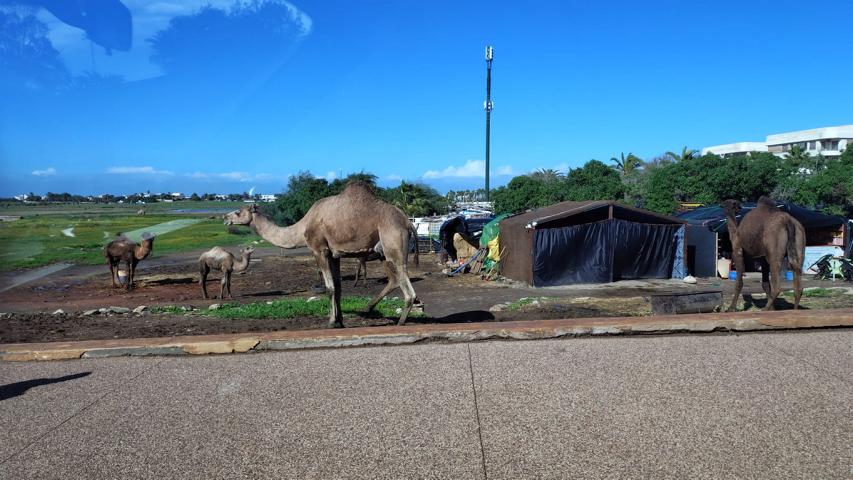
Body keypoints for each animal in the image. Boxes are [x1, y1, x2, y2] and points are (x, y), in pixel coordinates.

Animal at [224, 182, 419, 327]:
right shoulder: (334, 254)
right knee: (396, 279)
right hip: (384, 253)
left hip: (392, 245)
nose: (225, 218)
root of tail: (408, 222)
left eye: (238, 212)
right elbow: (338, 287)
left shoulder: (319, 250)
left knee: (405, 283)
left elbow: (329, 287)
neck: (302, 227)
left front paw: (331, 322)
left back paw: (401, 322)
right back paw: (372, 309)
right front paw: (340, 321)